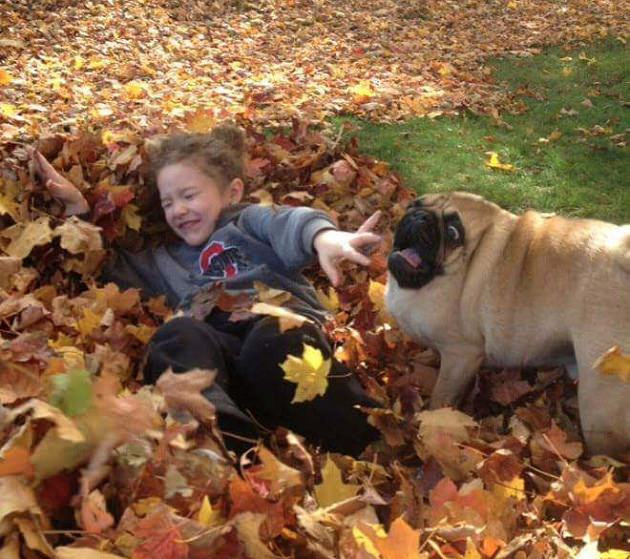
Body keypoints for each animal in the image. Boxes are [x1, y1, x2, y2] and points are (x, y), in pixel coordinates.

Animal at [386, 192, 630, 460]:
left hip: (600, 400)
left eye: (452, 233)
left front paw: (432, 420)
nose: (419, 217)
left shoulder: (460, 355)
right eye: (414, 205)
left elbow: (442, 394)